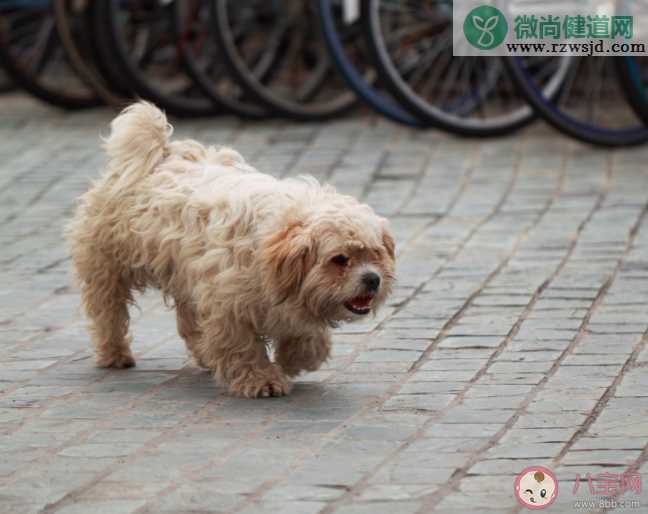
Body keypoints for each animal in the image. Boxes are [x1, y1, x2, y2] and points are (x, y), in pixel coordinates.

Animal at [66, 100, 394, 396]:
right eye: (340, 259)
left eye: (374, 254)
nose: (373, 279)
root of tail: (157, 157)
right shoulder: (227, 304)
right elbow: (241, 345)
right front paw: (261, 379)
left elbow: (307, 336)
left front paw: (295, 358)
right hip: (108, 268)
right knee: (108, 312)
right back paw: (114, 353)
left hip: (185, 276)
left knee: (190, 324)